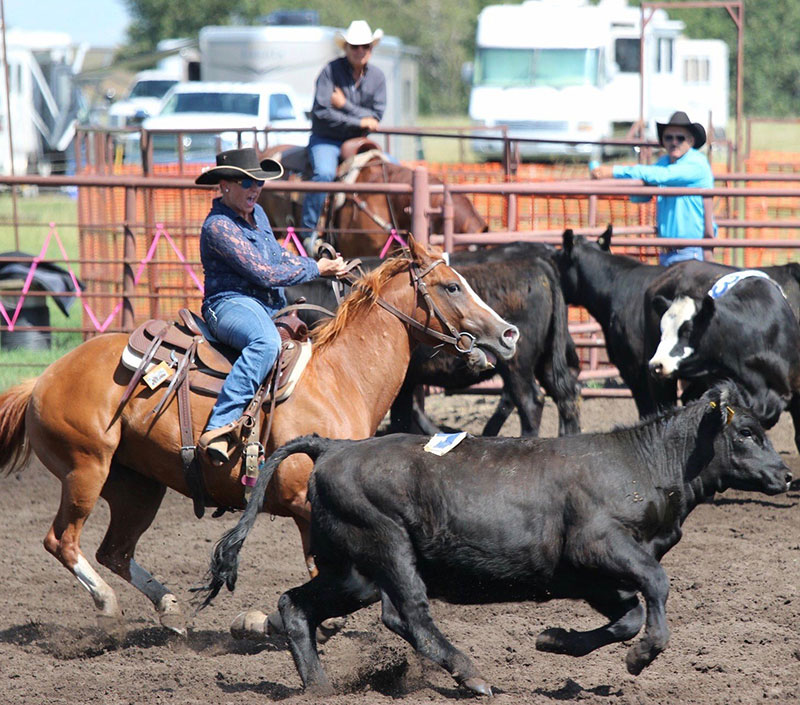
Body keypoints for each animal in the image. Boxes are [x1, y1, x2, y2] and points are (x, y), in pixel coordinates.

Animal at [0, 241, 520, 640]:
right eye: (452, 286)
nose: (509, 334)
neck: (341, 378)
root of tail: (42, 379)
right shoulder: (305, 504)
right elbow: (326, 580)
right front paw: (270, 622)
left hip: (137, 486)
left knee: (115, 550)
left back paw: (171, 610)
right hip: (86, 468)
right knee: (62, 540)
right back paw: (109, 606)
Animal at [197, 380, 792, 692]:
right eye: (746, 431)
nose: (787, 475)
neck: (641, 464)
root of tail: (334, 447)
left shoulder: (591, 575)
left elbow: (625, 616)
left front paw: (555, 640)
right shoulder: (601, 545)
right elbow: (658, 586)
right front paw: (643, 656)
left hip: (352, 570)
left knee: (298, 605)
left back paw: (321, 688)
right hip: (385, 546)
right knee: (410, 614)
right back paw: (471, 675)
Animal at [288, 245, 580, 438]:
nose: (508, 332)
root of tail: (541, 267)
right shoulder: (405, 382)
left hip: (518, 365)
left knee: (531, 402)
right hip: (545, 360)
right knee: (566, 394)